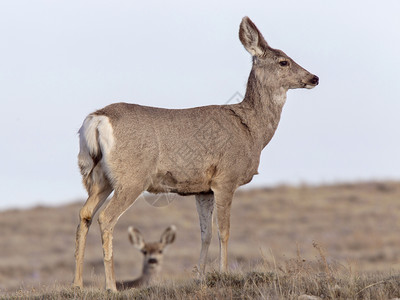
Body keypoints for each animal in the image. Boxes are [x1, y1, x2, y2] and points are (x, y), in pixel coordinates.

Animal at [73, 16, 320, 290]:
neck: (251, 129)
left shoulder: (203, 188)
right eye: (283, 61)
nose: (314, 78)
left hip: (98, 177)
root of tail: (97, 119)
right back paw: (111, 285)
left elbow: (205, 233)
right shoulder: (226, 178)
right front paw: (223, 273)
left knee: (84, 214)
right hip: (132, 177)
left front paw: (200, 276)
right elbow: (224, 230)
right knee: (106, 218)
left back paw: (78, 284)